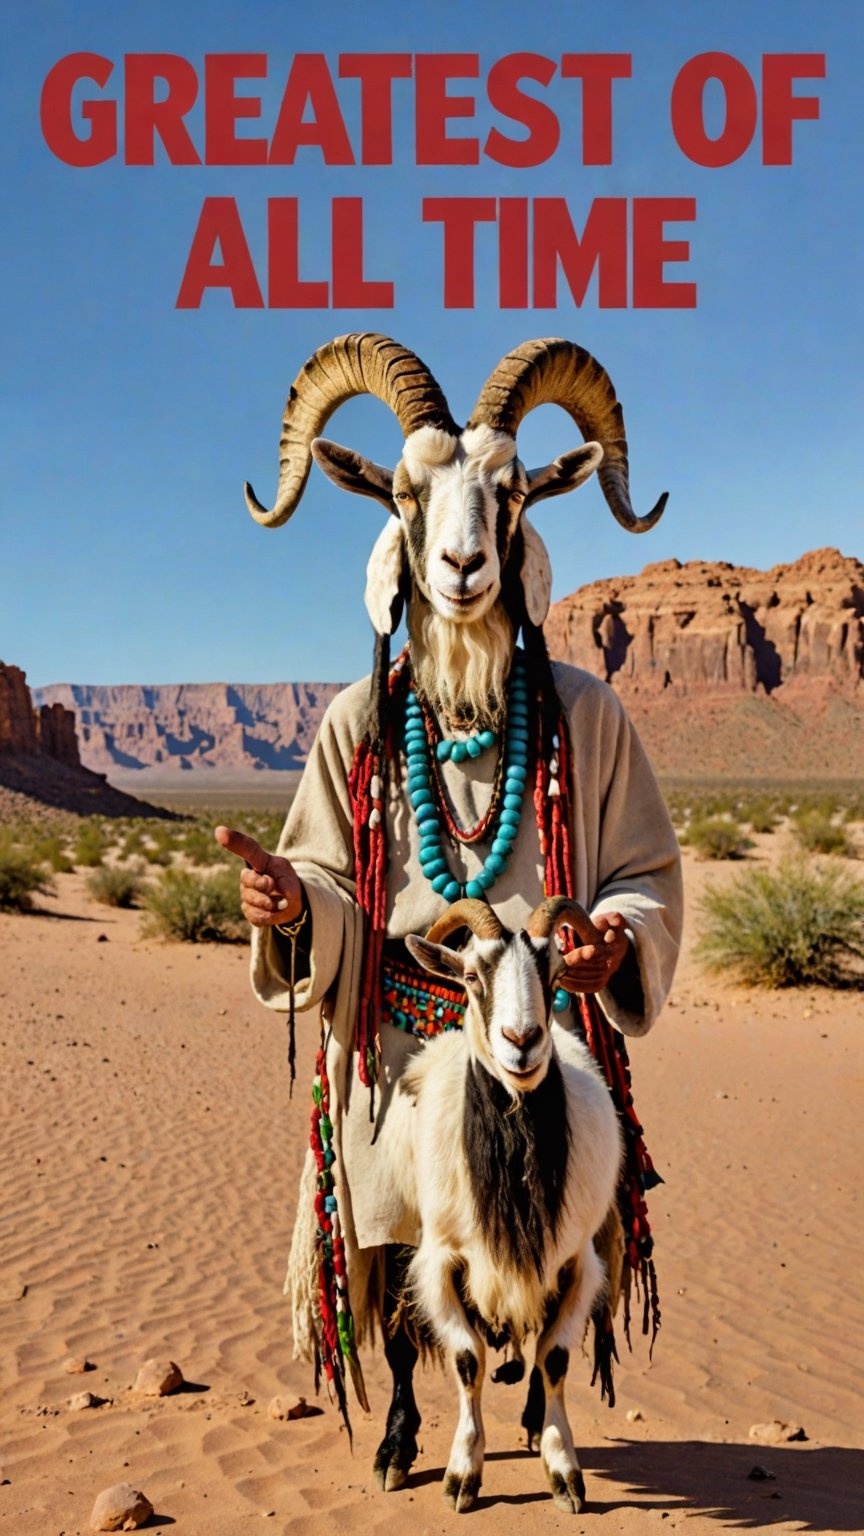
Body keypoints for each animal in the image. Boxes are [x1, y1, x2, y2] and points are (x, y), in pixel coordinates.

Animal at [387, 897, 621, 1511]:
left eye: (556, 973)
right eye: (472, 975)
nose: (522, 1040)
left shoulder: (577, 1263)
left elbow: (555, 1358)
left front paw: (563, 1469)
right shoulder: (441, 1261)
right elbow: (468, 1360)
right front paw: (462, 1474)